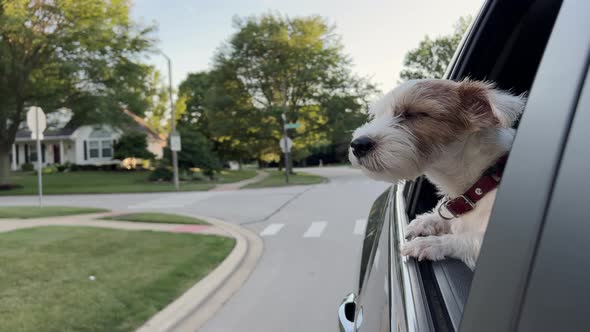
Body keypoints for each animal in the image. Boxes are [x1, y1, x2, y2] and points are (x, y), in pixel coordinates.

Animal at [352, 78, 528, 270]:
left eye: (414, 114)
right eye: (377, 115)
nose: (357, 145)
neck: (481, 183)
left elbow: (466, 239)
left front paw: (431, 243)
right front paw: (425, 221)